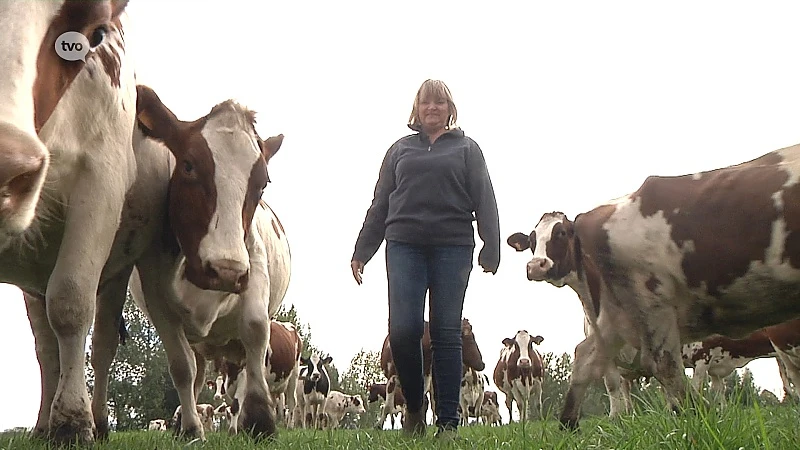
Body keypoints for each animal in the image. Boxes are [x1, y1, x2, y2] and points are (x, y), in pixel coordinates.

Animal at [2, 0, 142, 442]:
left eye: (94, 33)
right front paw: (57, 419)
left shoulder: (100, 184)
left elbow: (71, 302)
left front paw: (73, 420)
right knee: (45, 349)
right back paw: (42, 423)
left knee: (100, 345)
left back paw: (95, 420)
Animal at [114, 84, 292, 440]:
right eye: (188, 166)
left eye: (262, 182)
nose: (224, 270)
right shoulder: (157, 296)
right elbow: (182, 366)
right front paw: (191, 428)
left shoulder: (252, 266)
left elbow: (255, 330)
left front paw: (261, 419)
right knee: (196, 371)